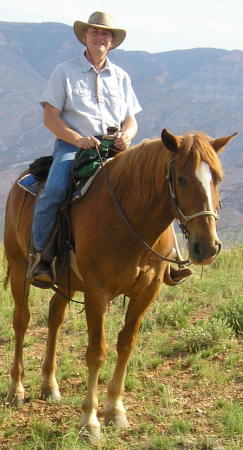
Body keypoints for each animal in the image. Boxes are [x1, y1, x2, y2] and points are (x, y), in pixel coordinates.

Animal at [2, 127, 236, 440]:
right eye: (182, 179)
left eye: (218, 178)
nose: (207, 247)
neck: (131, 218)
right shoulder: (97, 293)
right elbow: (96, 353)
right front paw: (89, 421)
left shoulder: (147, 291)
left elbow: (126, 344)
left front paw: (115, 411)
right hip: (19, 268)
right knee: (22, 321)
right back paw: (16, 389)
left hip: (66, 281)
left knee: (54, 317)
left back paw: (49, 385)